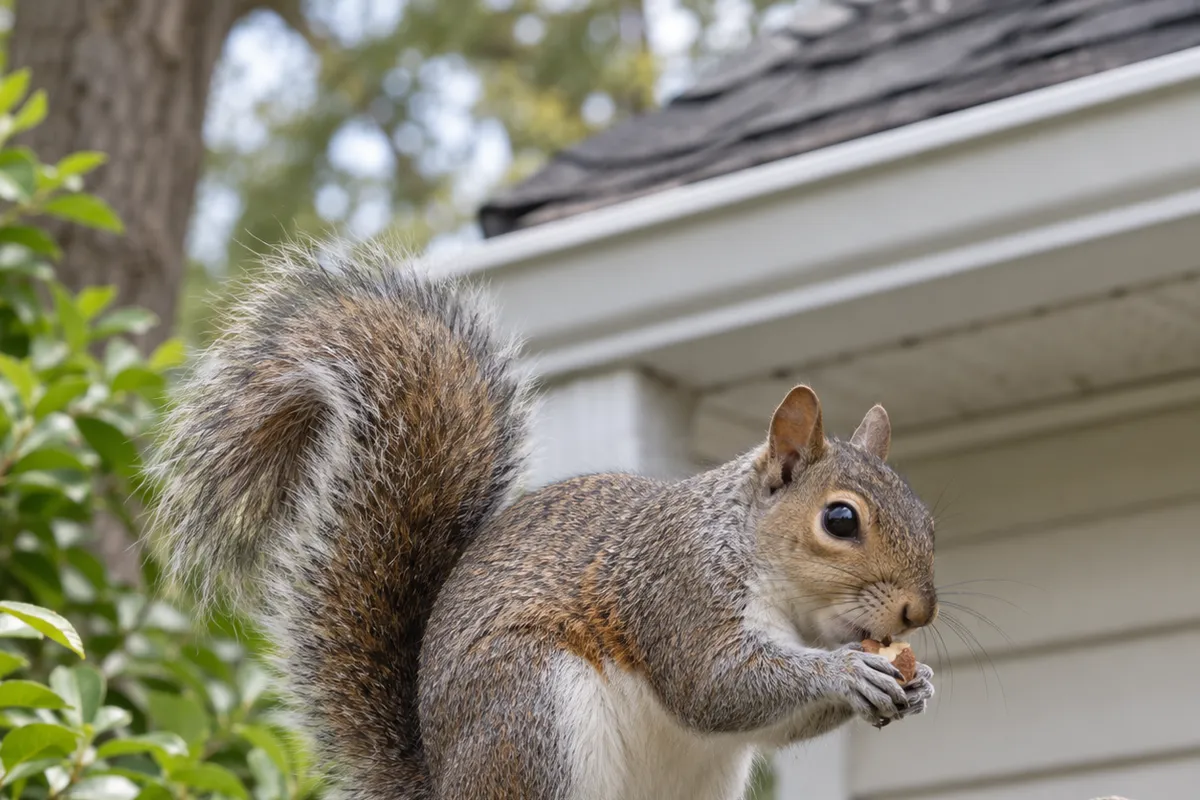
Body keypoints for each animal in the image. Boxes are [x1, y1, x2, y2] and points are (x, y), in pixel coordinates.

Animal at [148, 241, 938, 800]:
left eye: (928, 517)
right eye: (840, 520)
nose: (917, 612)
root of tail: (443, 786)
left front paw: (915, 682)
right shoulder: (677, 591)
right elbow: (715, 686)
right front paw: (847, 670)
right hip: (529, 713)